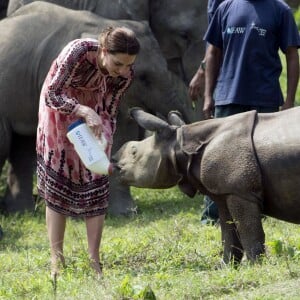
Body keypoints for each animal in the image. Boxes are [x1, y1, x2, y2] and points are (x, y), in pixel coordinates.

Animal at [111, 106, 300, 264]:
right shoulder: (225, 191)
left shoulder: (240, 190)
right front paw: (225, 266)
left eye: (134, 152)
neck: (179, 145)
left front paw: (256, 265)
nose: (113, 161)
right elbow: (228, 231)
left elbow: (248, 230)